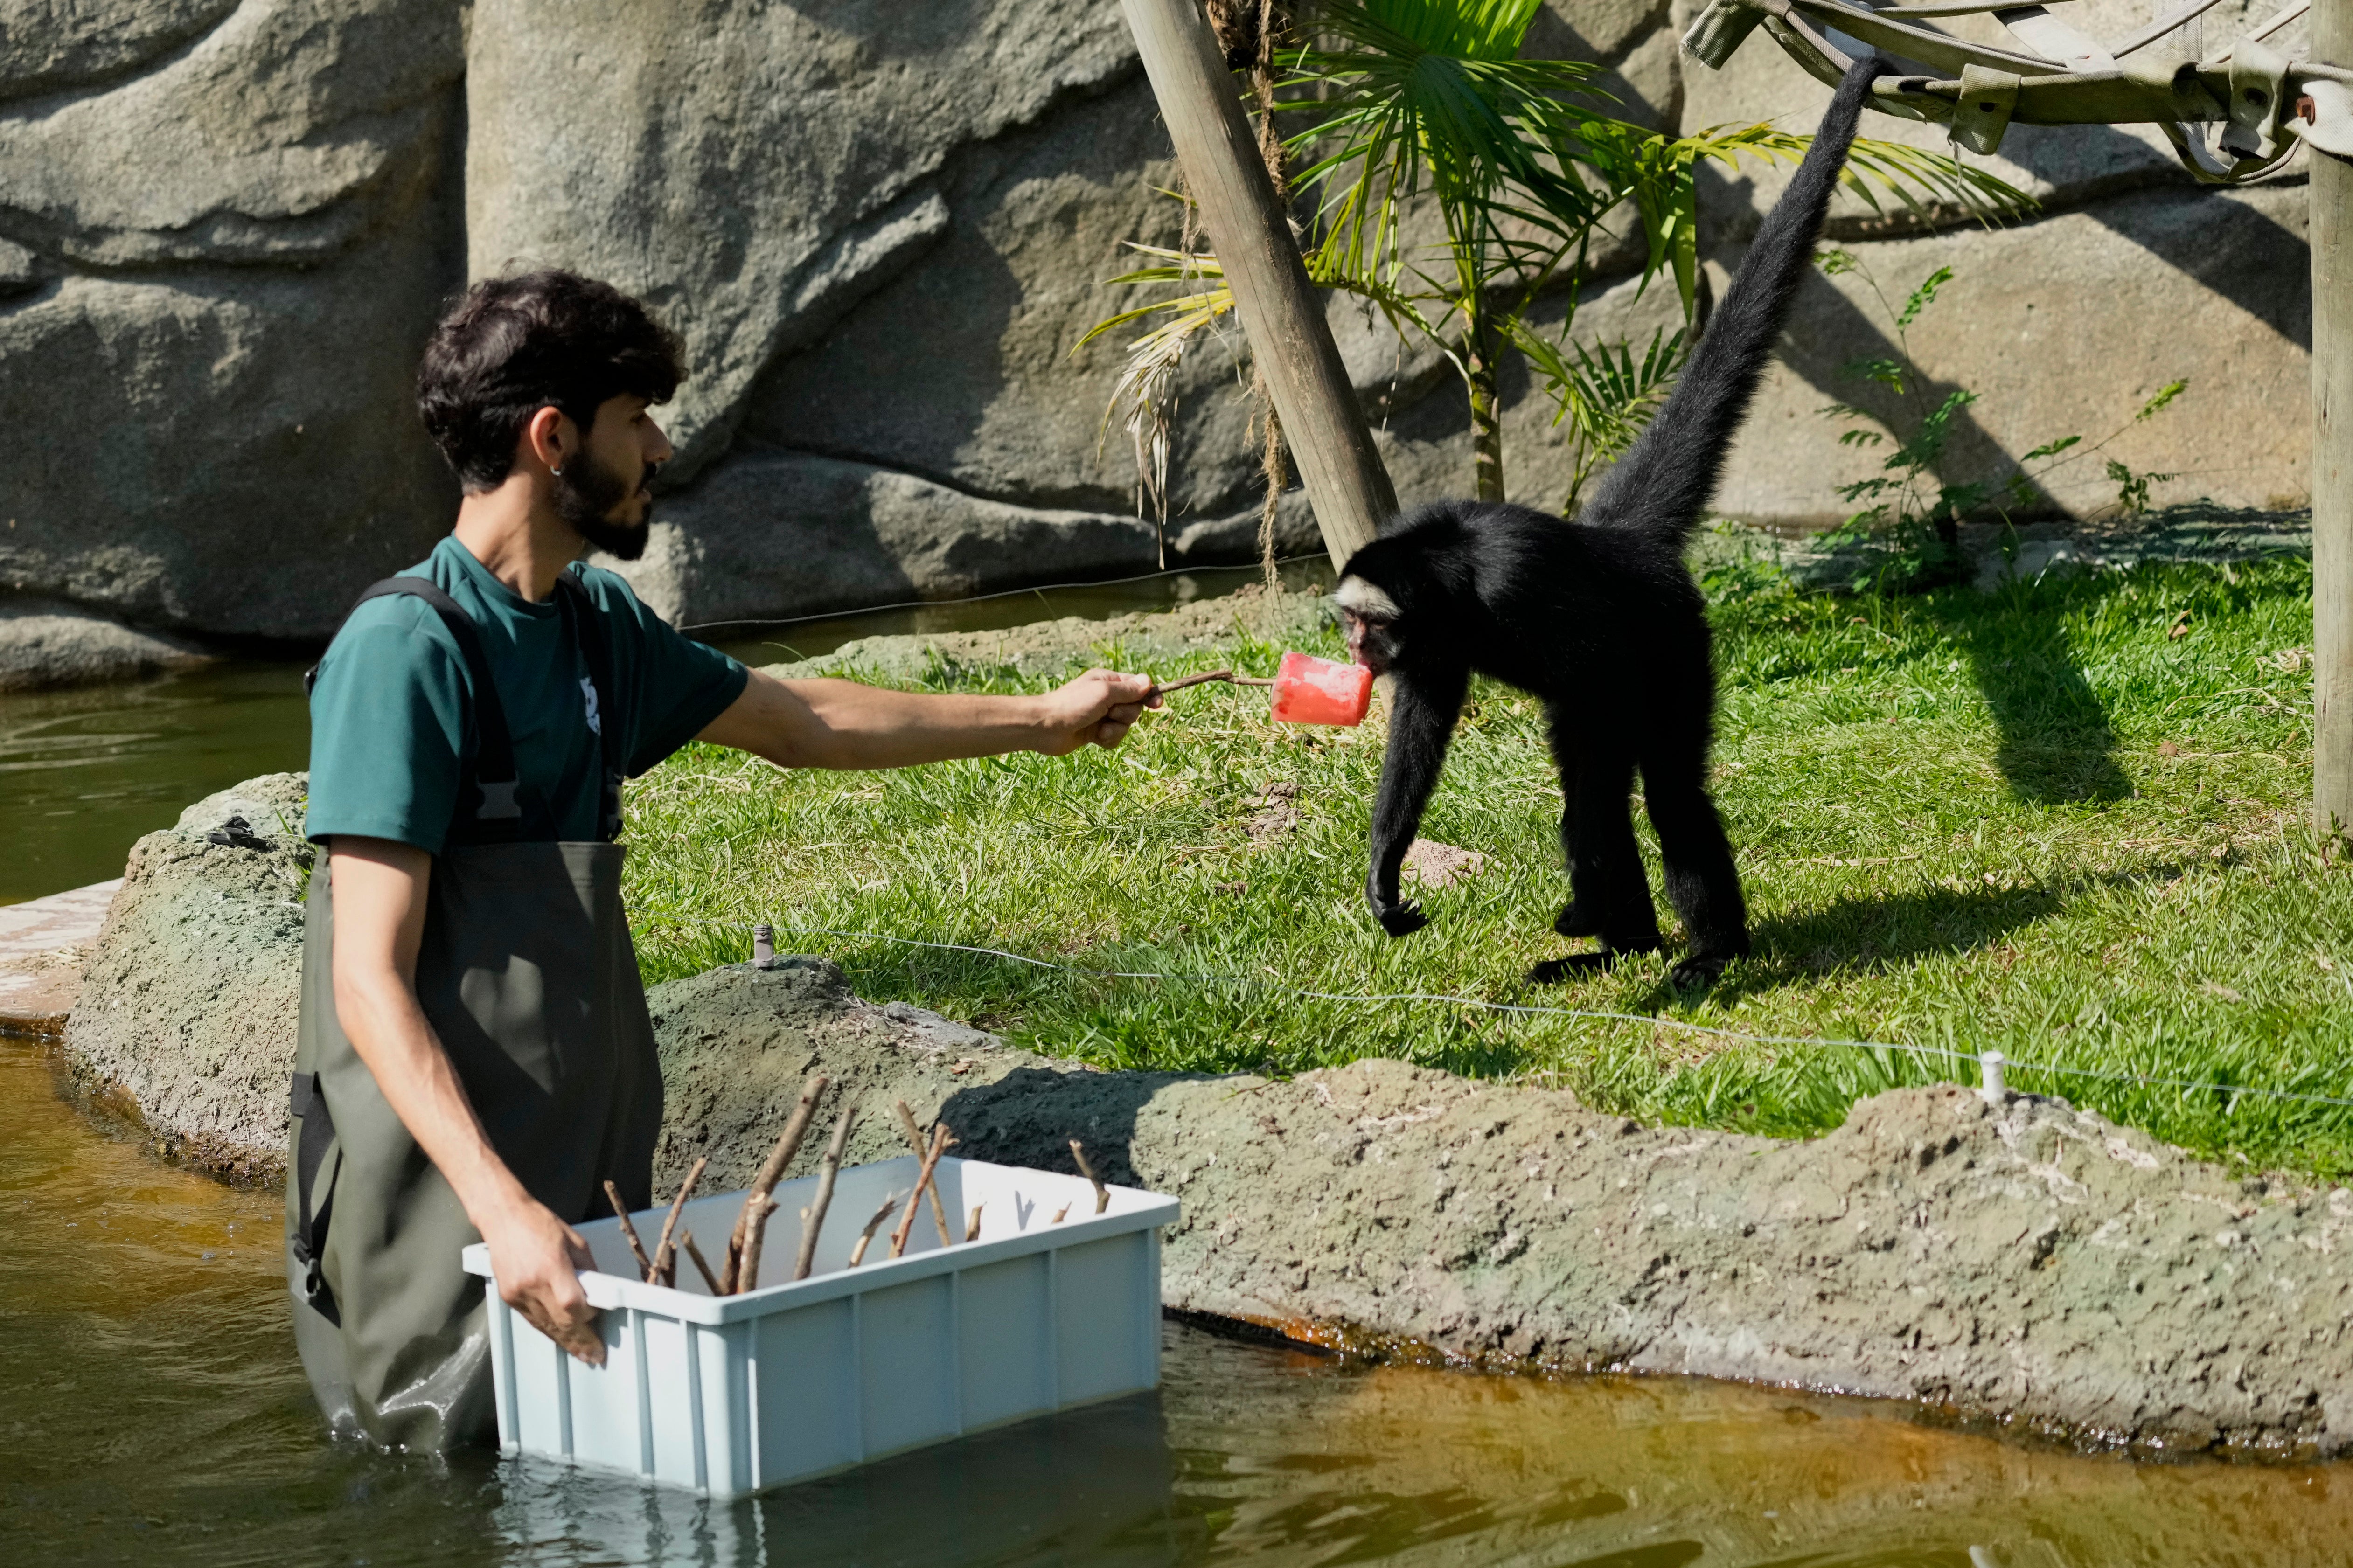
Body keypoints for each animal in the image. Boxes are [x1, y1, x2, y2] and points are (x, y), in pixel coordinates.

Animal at [1336, 64, 1882, 992]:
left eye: (1365, 622)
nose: (1354, 649)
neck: (1453, 572)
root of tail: (1620, 544)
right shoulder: (1436, 636)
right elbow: (1429, 711)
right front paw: (1385, 867)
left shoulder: (1523, 589)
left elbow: (1597, 724)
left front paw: (1590, 900)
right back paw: (1623, 948)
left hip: (1674, 637)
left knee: (1660, 784)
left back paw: (1703, 951)